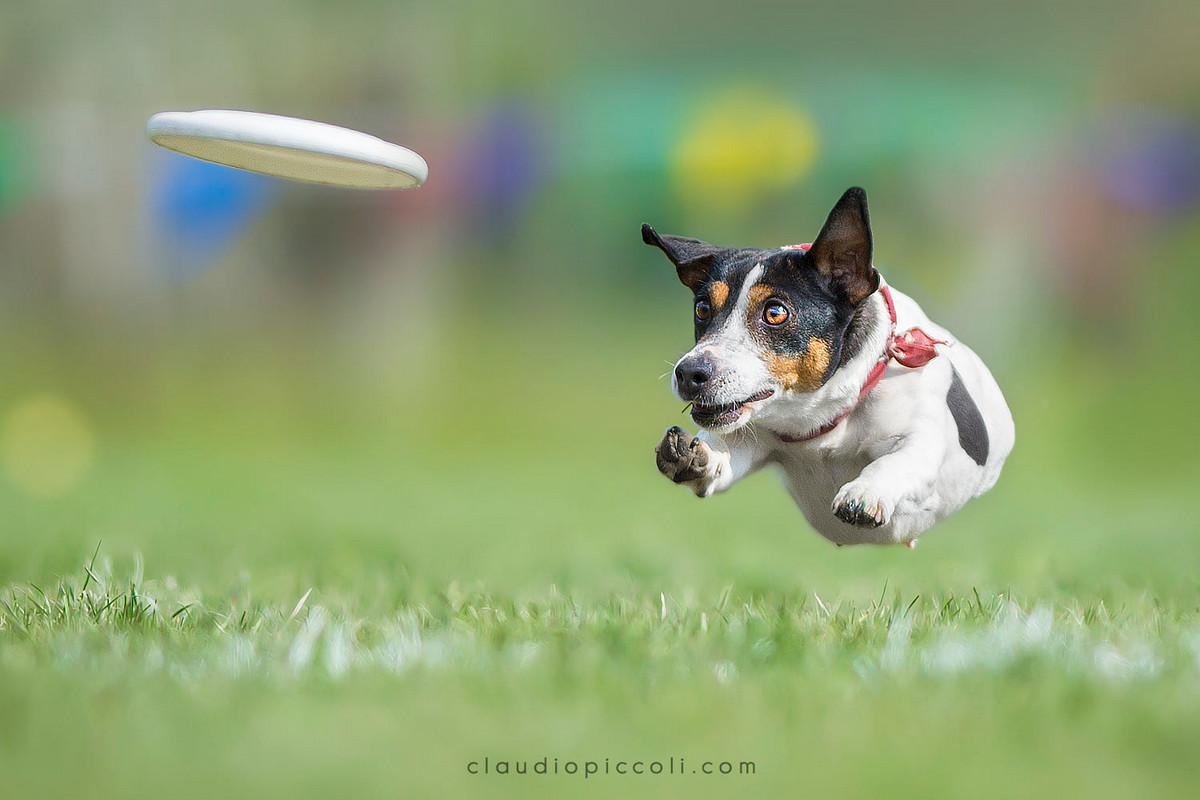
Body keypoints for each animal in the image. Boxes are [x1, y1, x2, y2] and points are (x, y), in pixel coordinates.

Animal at [648, 188, 1012, 546]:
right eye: (702, 308)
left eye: (775, 313)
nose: (688, 373)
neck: (822, 416)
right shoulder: (750, 437)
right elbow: (722, 458)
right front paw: (700, 455)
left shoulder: (921, 438)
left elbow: (898, 460)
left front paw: (865, 492)